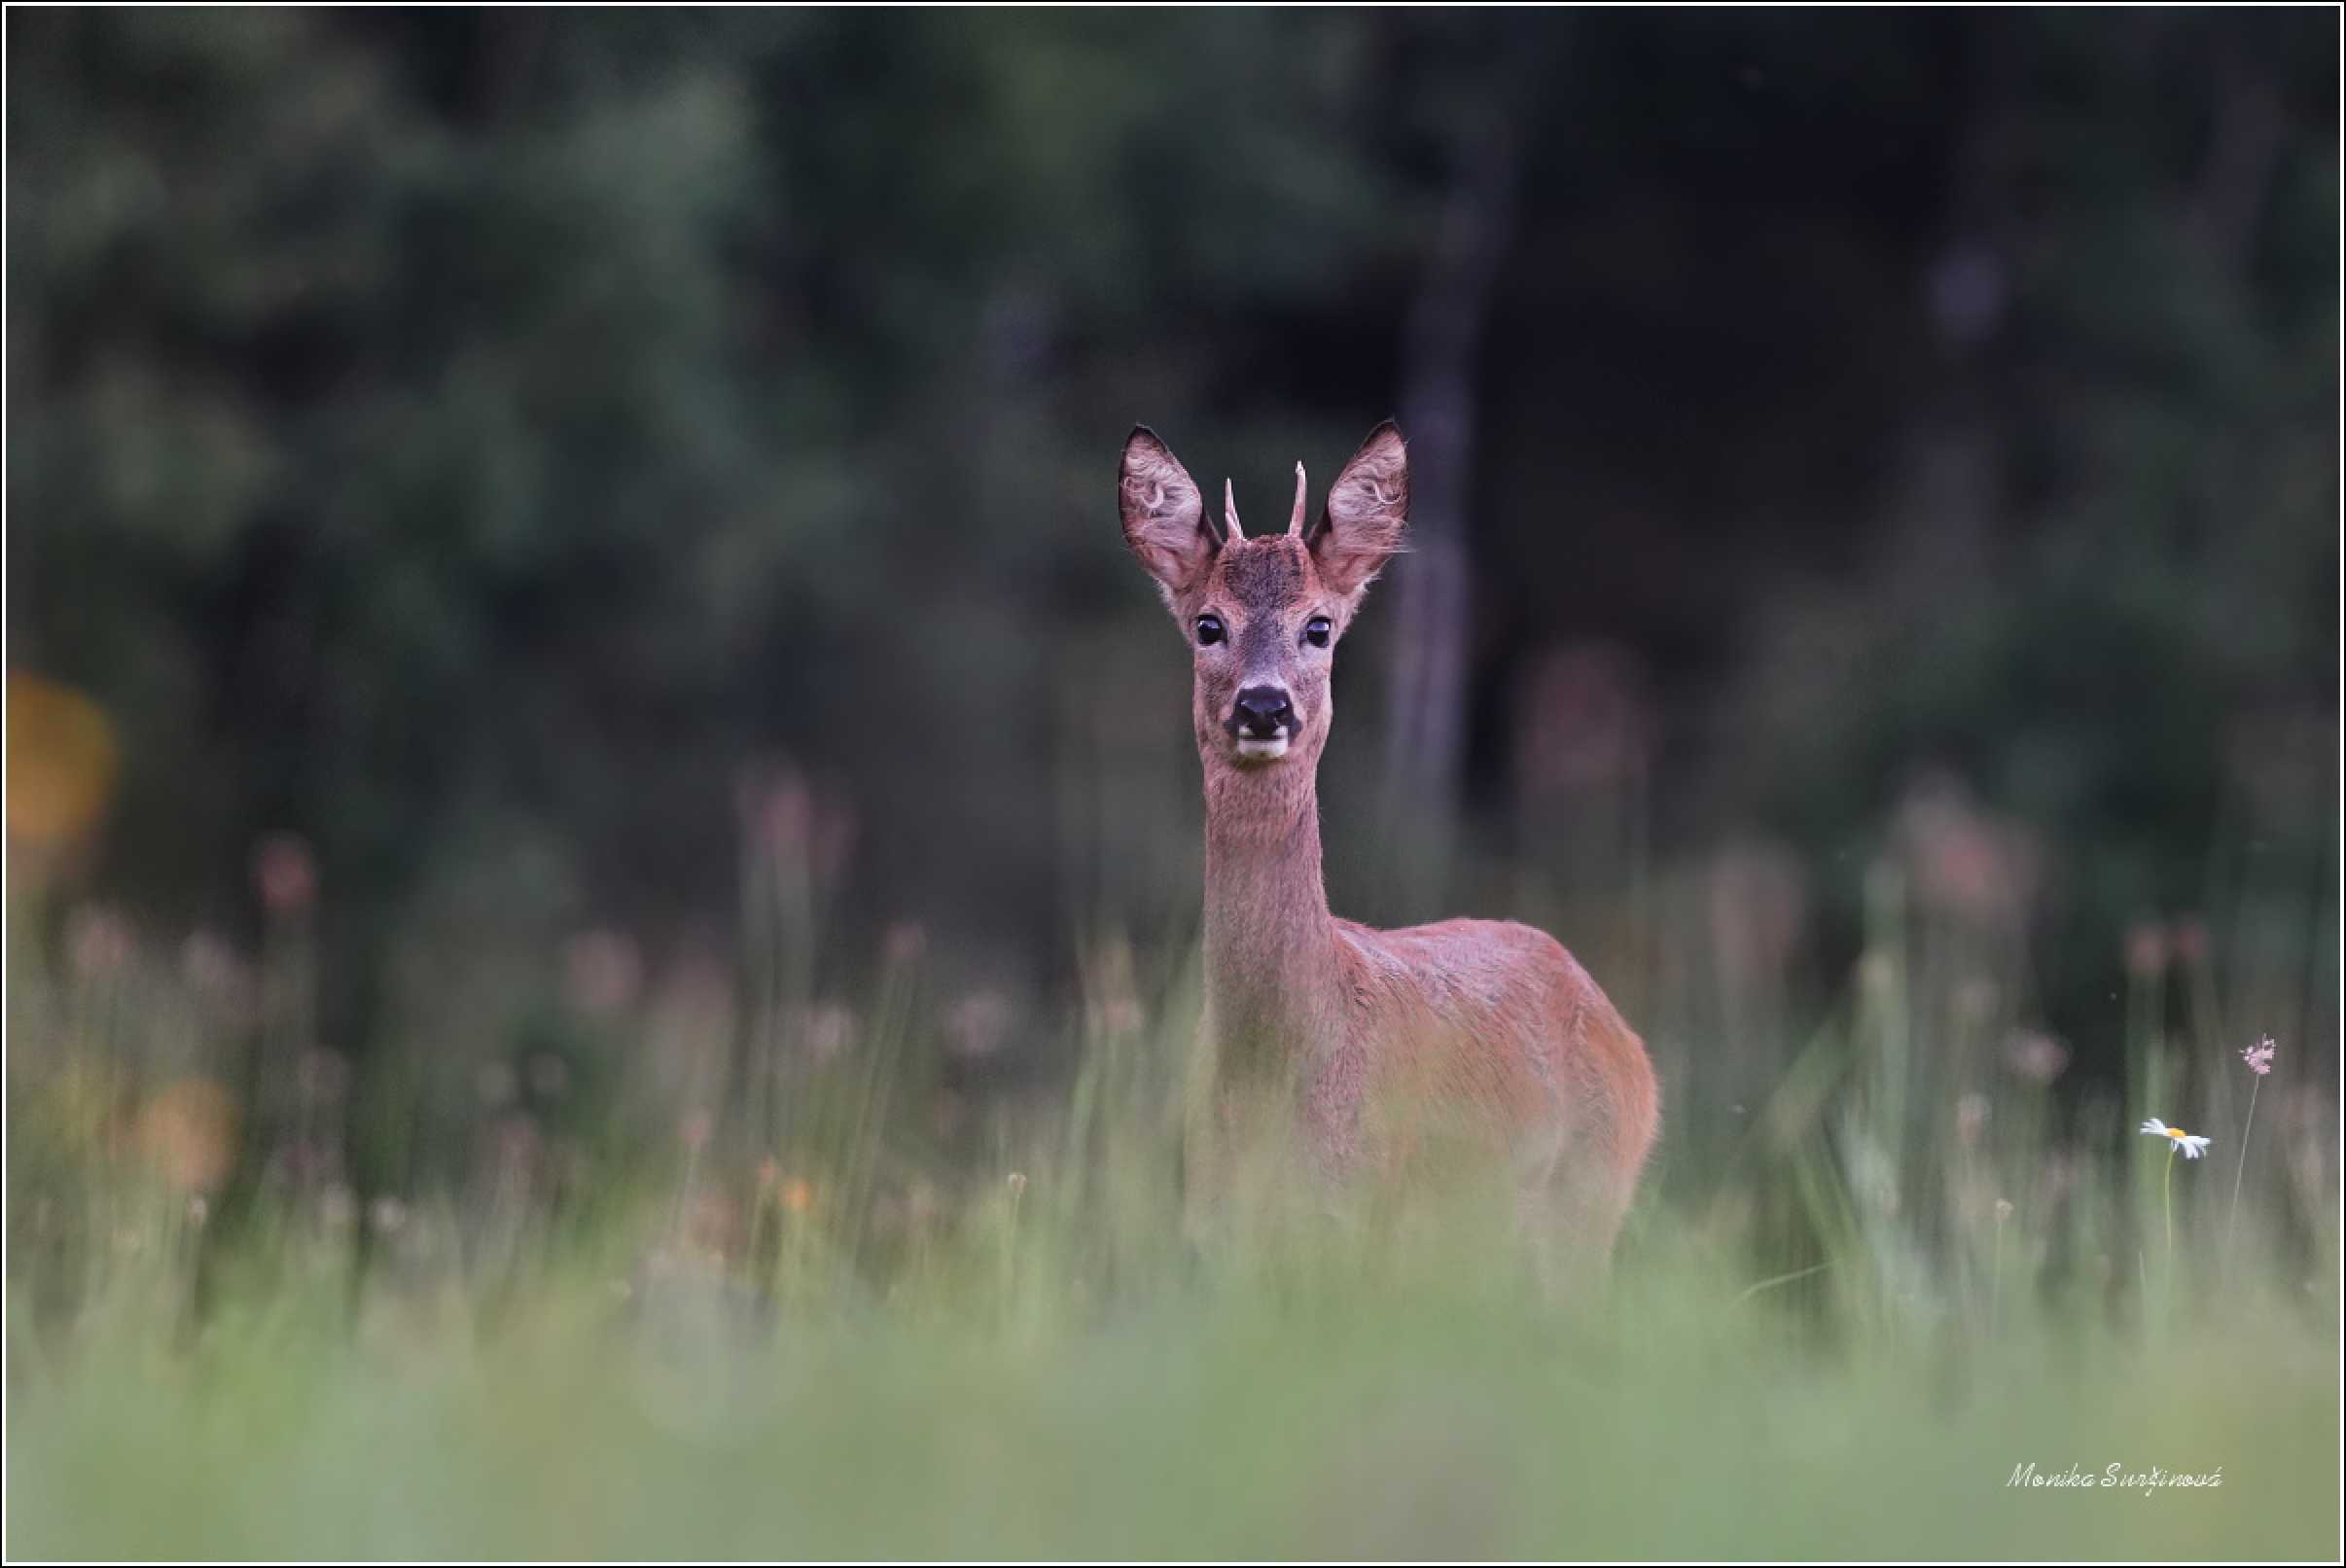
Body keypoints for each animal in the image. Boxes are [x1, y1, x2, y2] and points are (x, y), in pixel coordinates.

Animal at [1120, 419, 1660, 1258]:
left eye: (1319, 626)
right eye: (1209, 625)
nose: (1265, 706)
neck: (1276, 1069)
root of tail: (1627, 1045)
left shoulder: (1361, 1213)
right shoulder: (1216, 1222)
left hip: (1583, 1206)